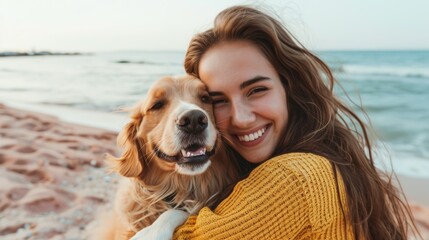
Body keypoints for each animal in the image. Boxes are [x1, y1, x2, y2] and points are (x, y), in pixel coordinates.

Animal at [92, 75, 239, 240]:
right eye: (157, 105)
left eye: (205, 98)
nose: (194, 120)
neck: (184, 186)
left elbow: (177, 212)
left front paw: (151, 232)